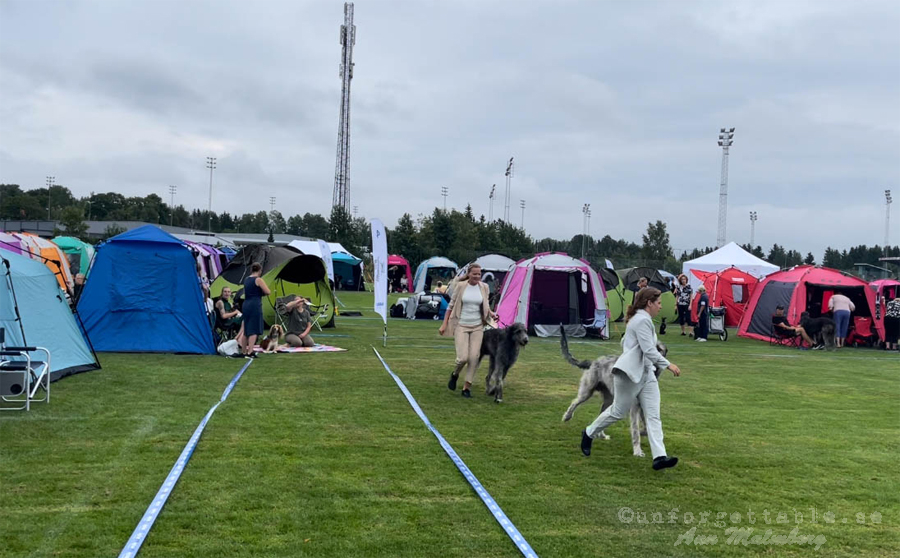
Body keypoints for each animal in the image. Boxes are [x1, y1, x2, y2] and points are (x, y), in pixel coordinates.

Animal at [560, 330, 664, 458]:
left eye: (660, 349)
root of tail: (594, 362)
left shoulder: (644, 405)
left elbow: (645, 426)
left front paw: (643, 434)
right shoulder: (634, 408)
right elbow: (635, 430)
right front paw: (637, 450)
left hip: (609, 400)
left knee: (601, 416)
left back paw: (601, 435)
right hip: (587, 391)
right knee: (575, 402)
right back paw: (567, 416)